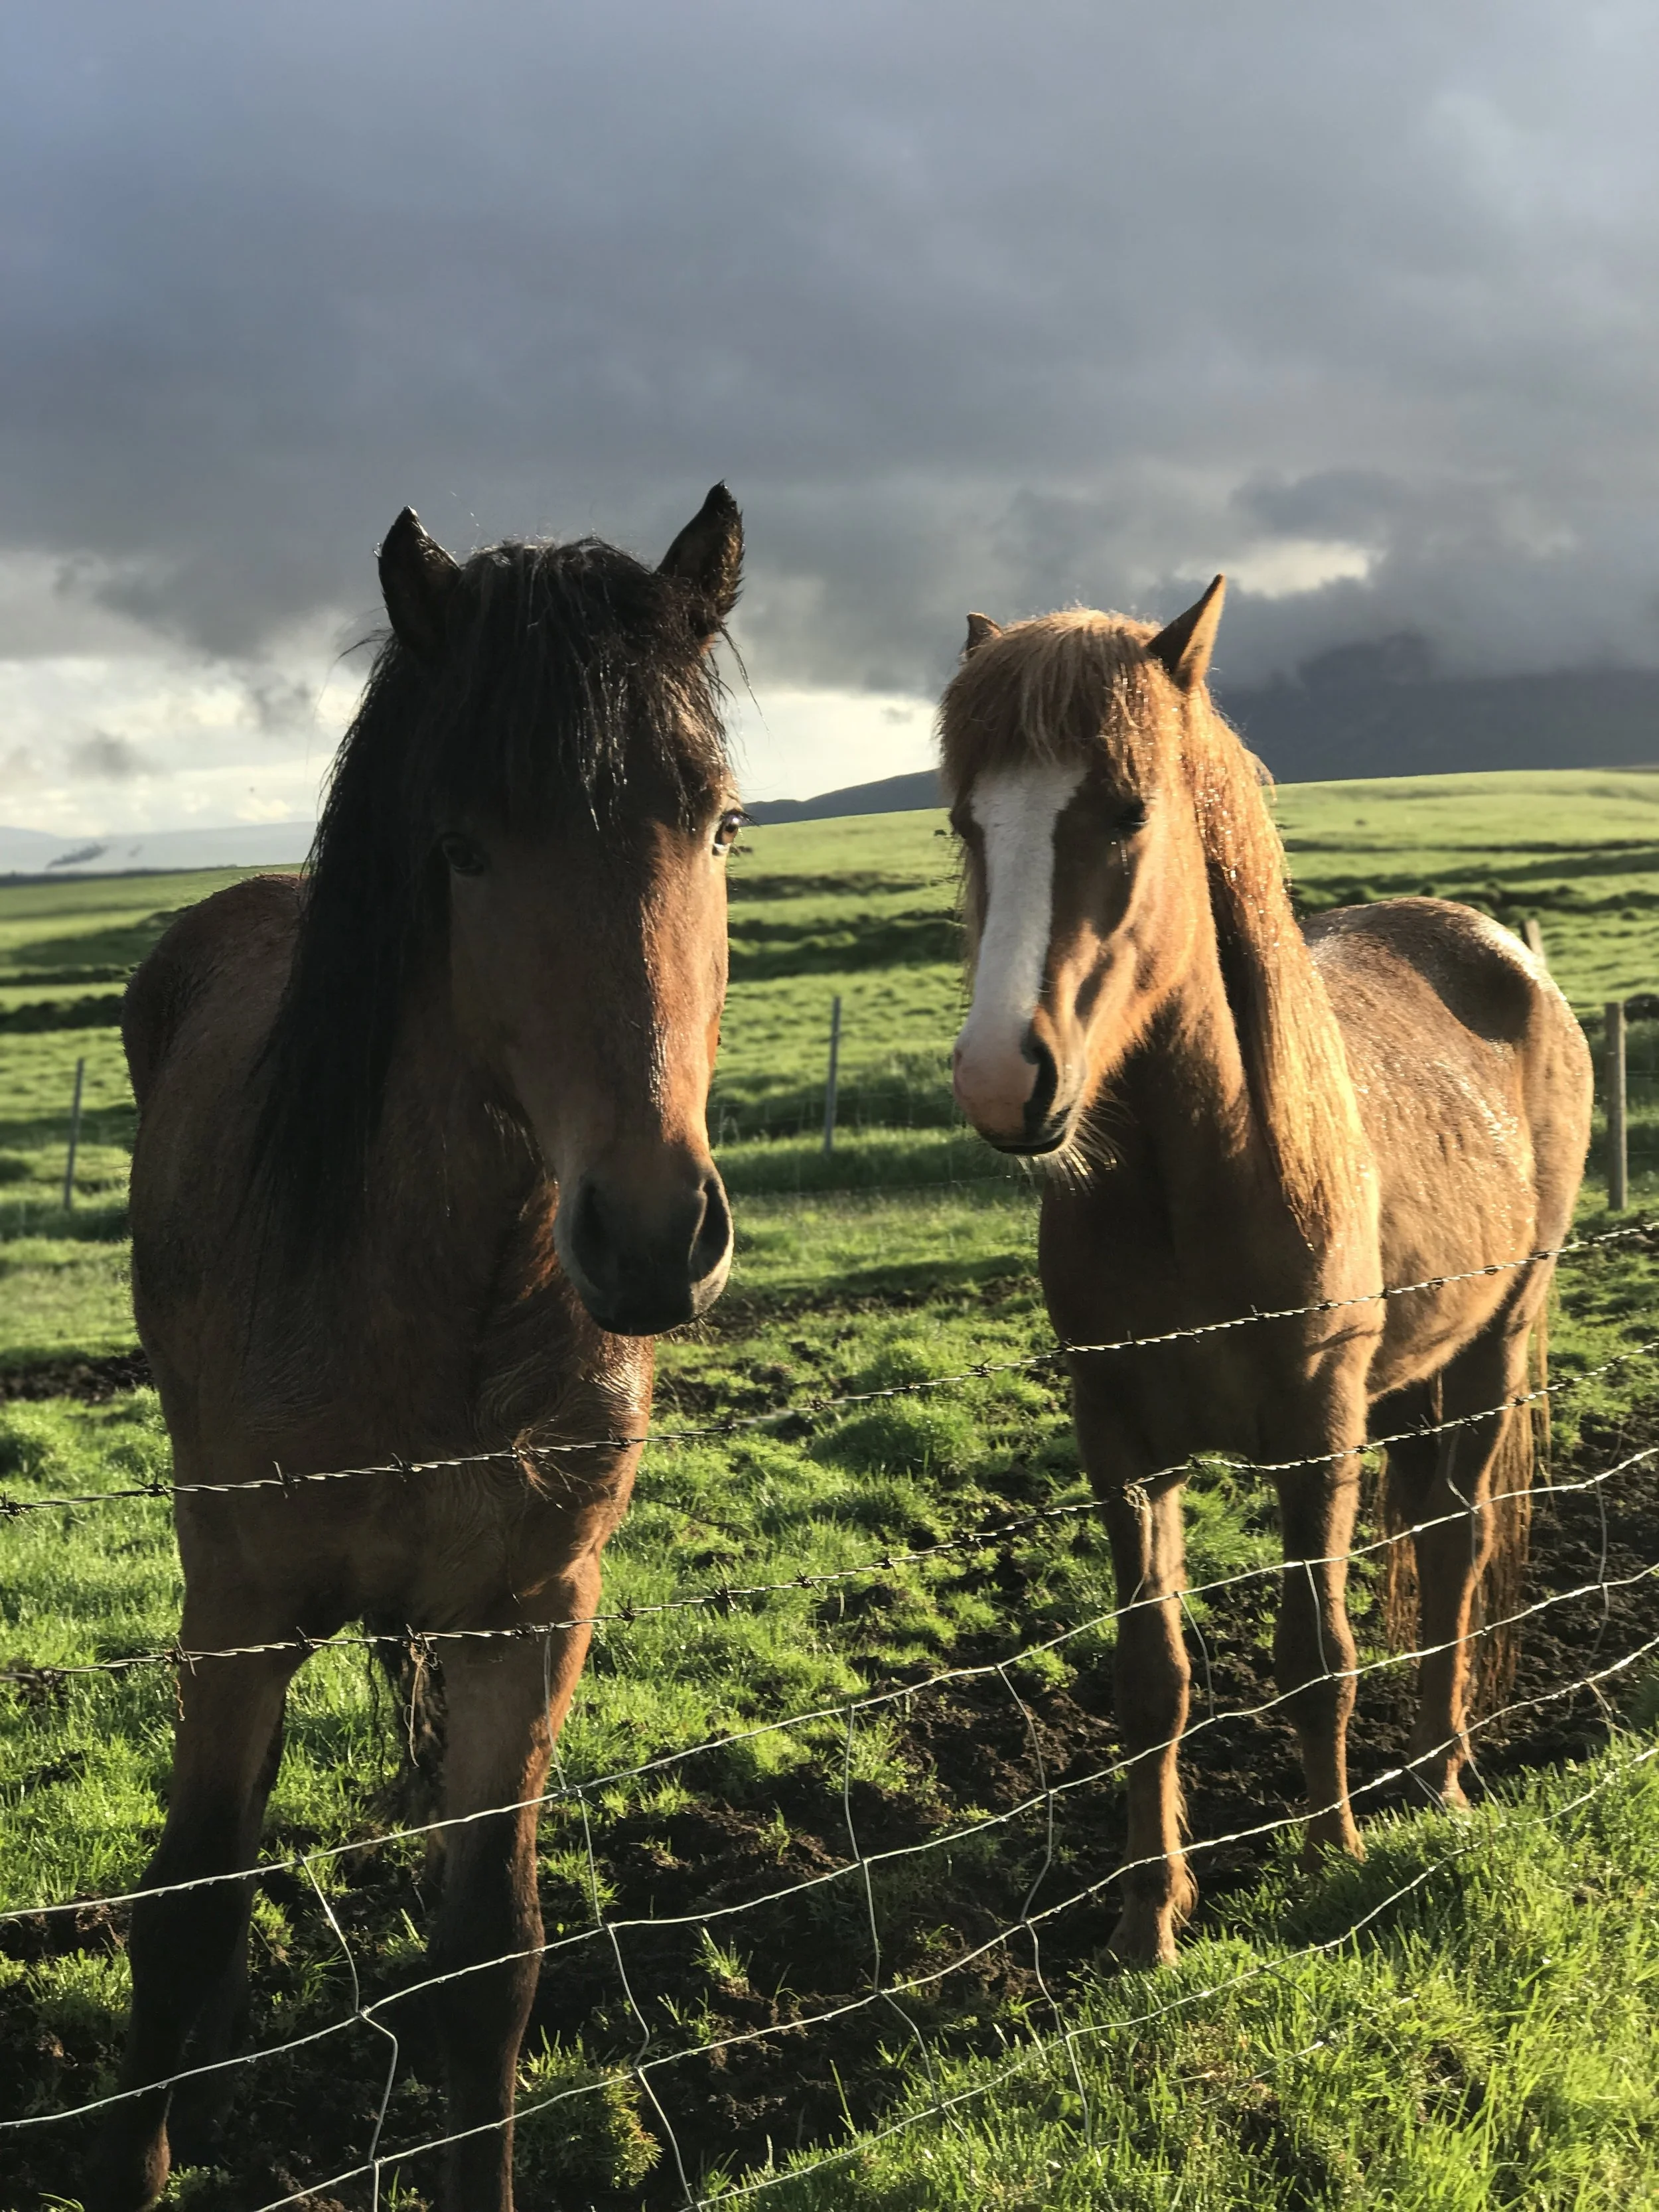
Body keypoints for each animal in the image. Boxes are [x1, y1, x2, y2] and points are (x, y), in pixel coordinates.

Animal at [89, 487, 746, 2212]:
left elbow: (486, 1960)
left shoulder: (529, 1614)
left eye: (717, 827)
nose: (650, 1232)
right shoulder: (235, 1613)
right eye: (461, 847)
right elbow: (185, 1915)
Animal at [940, 580, 1592, 1968]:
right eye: (969, 820)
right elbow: (1152, 1677)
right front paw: (1149, 1919)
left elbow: (1315, 1650)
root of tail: (1507, 953)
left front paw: (1330, 1853)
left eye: (1127, 810)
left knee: (1456, 1545)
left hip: (1496, 1340)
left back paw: (1442, 1778)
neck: (1200, 1177)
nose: (999, 1079)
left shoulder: (1315, 1428)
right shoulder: (1120, 1437)